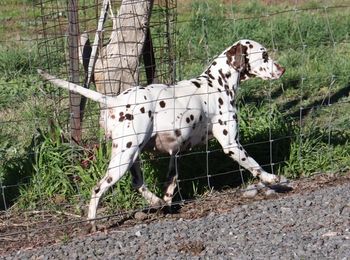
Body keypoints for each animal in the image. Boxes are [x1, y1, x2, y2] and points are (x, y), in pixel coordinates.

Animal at [39, 38, 284, 225]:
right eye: (264, 55)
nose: (282, 69)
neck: (215, 84)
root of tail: (116, 101)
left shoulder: (176, 153)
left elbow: (170, 183)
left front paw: (166, 203)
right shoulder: (231, 144)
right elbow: (254, 165)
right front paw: (272, 179)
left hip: (132, 157)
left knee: (138, 184)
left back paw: (155, 202)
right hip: (123, 159)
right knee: (98, 188)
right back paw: (92, 222)